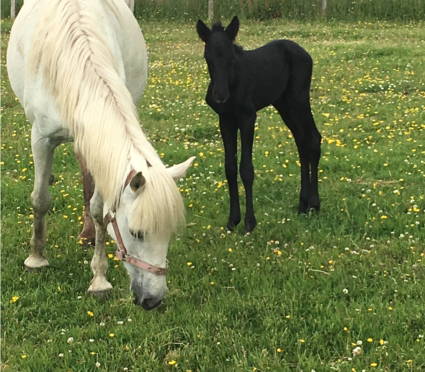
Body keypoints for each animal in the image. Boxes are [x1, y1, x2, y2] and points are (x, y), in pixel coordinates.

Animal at [7, 0, 194, 310]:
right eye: (137, 233)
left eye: (168, 234)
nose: (153, 300)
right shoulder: (41, 139)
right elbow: (40, 200)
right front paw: (36, 258)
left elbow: (99, 210)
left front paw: (99, 279)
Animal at [197, 17, 320, 234]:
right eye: (207, 56)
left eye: (231, 56)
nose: (219, 94)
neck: (233, 81)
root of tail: (305, 54)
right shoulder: (226, 120)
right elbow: (230, 167)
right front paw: (232, 221)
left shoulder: (247, 117)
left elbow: (246, 169)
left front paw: (249, 223)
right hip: (284, 104)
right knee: (301, 141)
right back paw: (302, 206)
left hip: (299, 99)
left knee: (313, 139)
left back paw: (314, 204)